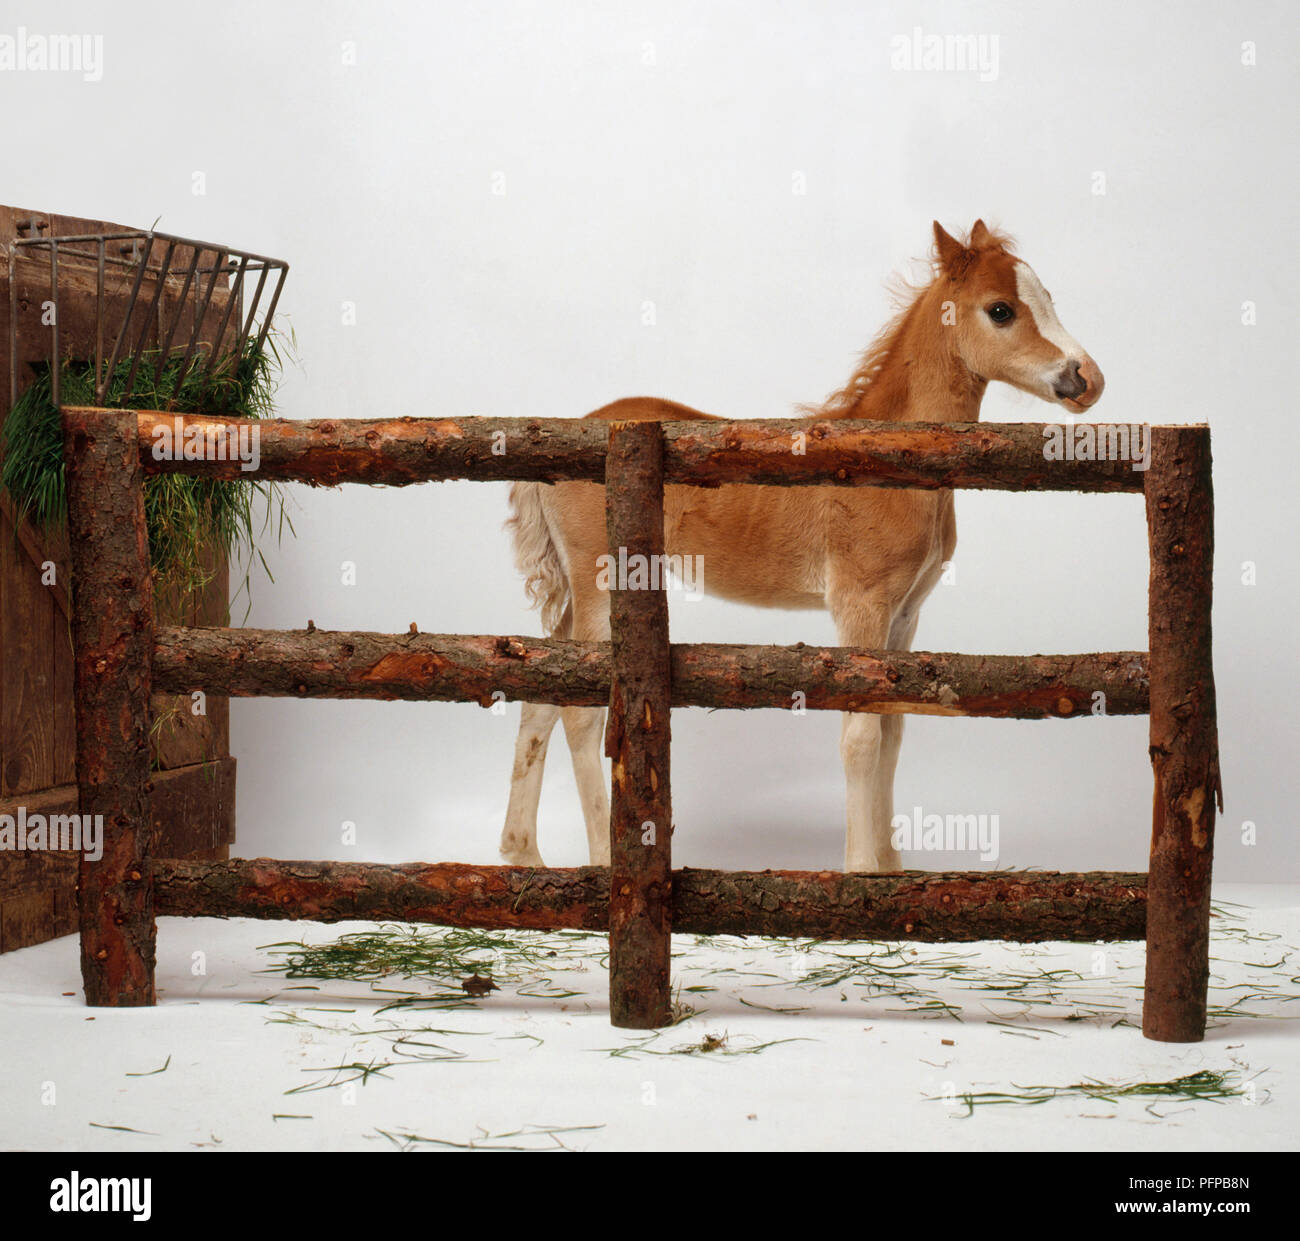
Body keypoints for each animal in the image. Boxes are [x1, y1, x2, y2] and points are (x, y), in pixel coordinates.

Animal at [493, 220, 1097, 873]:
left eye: (1050, 297)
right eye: (1001, 309)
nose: (1088, 378)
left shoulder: (905, 615)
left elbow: (892, 729)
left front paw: (891, 873)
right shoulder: (860, 605)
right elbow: (860, 738)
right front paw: (859, 873)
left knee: (542, 694)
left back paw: (523, 855)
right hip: (600, 580)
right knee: (579, 713)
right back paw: (604, 860)